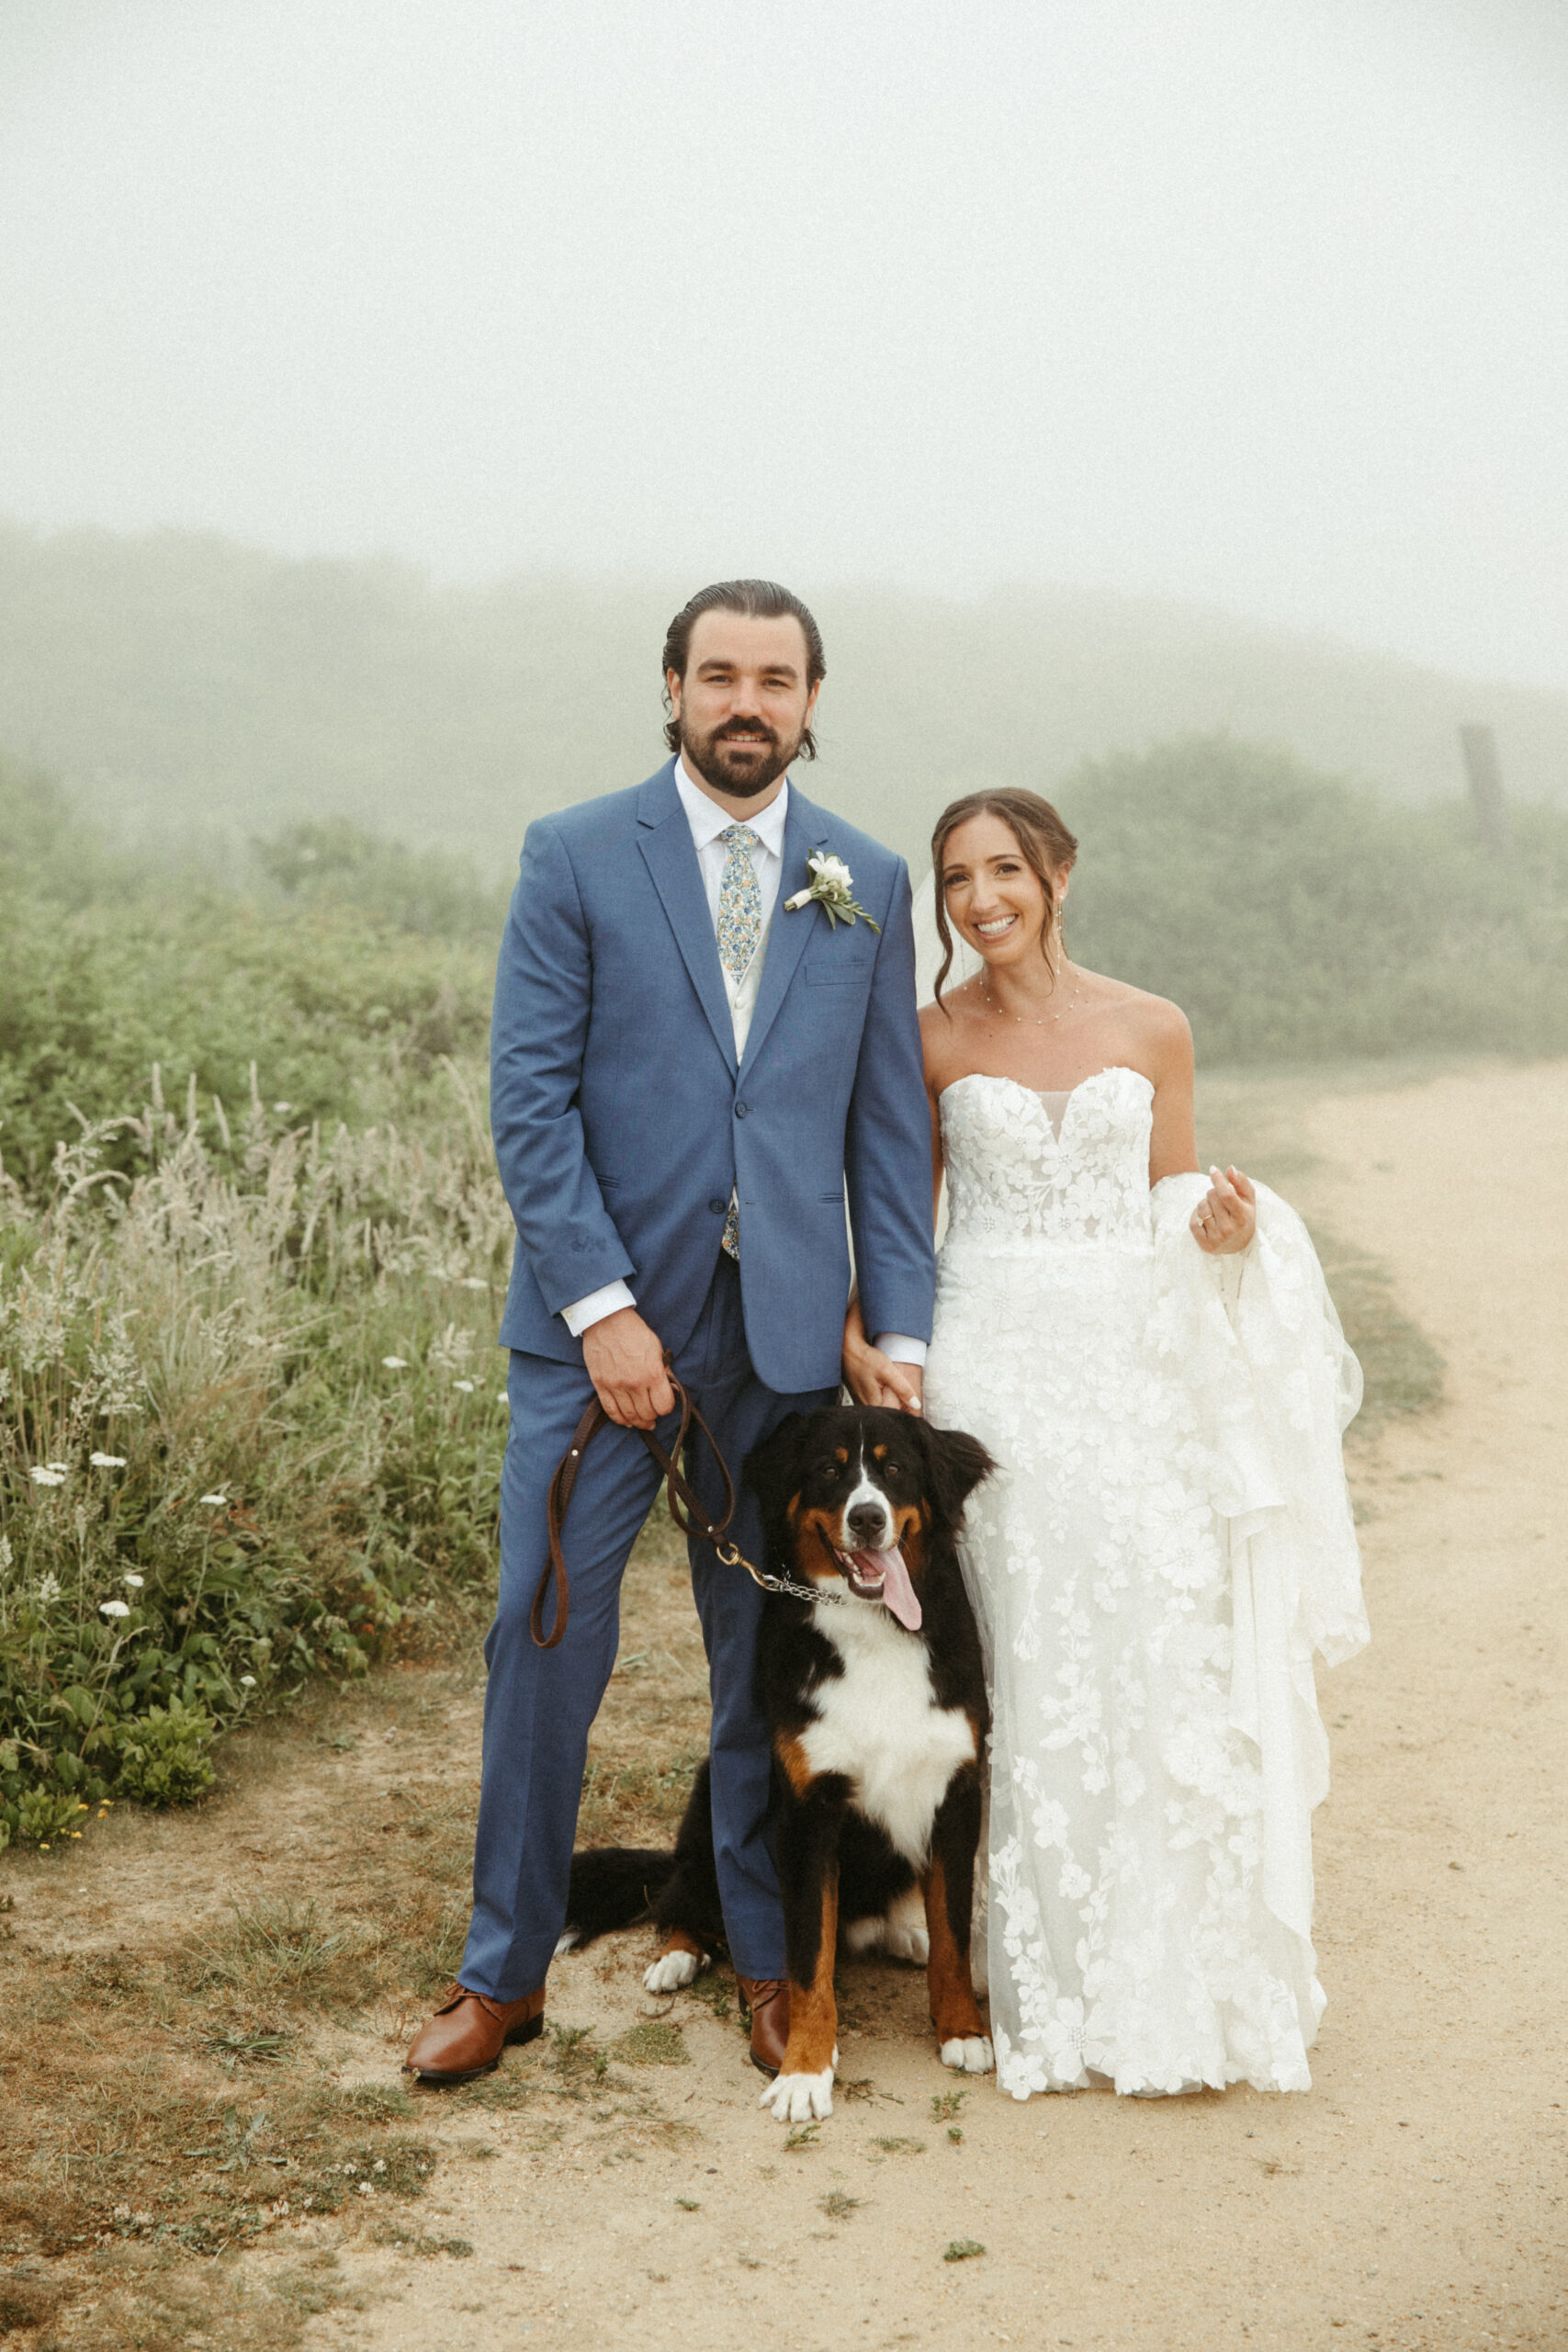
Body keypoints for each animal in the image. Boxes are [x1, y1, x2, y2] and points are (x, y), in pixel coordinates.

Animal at [561, 1401, 991, 2126]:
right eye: (829, 1471)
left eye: (894, 1469)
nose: (867, 1518)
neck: (875, 1633)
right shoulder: (808, 1813)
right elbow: (808, 1964)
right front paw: (803, 2072)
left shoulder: (957, 1791)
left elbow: (954, 1934)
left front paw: (962, 2030)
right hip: (708, 1797)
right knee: (682, 1898)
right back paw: (679, 1958)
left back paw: (905, 1932)